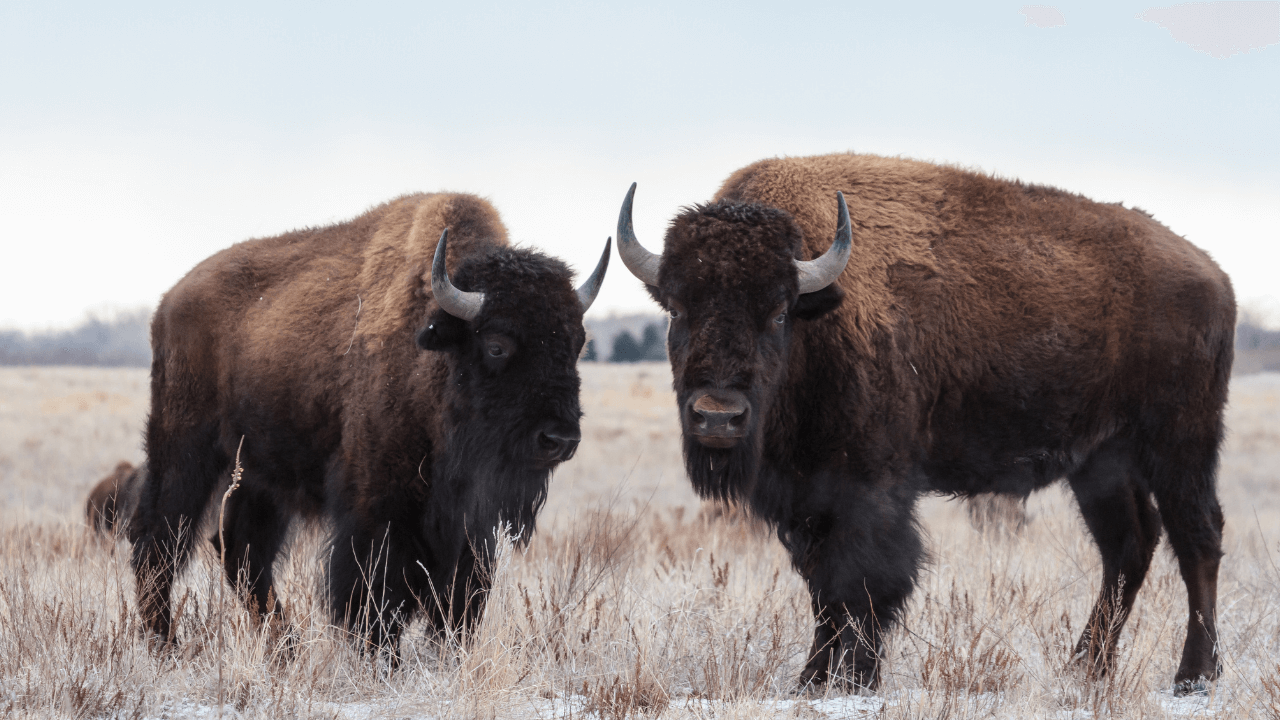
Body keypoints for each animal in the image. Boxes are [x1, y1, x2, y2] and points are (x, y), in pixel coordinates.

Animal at [129, 193, 609, 653]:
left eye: (575, 344)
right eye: (496, 345)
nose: (559, 438)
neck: (431, 353)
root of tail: (169, 302)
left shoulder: (469, 525)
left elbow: (461, 599)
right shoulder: (377, 506)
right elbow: (374, 593)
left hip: (260, 472)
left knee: (242, 548)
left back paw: (285, 650)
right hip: (184, 448)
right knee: (158, 540)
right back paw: (166, 645)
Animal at [614, 152, 1233, 696]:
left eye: (779, 311)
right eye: (678, 308)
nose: (718, 417)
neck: (822, 311)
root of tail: (1214, 275)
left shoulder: (869, 488)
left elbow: (862, 582)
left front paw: (851, 679)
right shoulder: (806, 497)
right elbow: (822, 587)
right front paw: (811, 679)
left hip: (1180, 444)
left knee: (1197, 539)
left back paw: (1193, 676)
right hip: (1102, 462)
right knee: (1128, 546)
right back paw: (1085, 669)